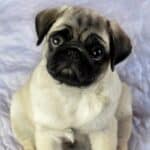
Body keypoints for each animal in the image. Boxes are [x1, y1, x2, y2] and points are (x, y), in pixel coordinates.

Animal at [10, 5, 132, 150]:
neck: (72, 92)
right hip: (18, 116)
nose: (73, 52)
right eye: (56, 41)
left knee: (122, 140)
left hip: (125, 111)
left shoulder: (103, 132)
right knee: (27, 141)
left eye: (97, 52)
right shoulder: (48, 134)